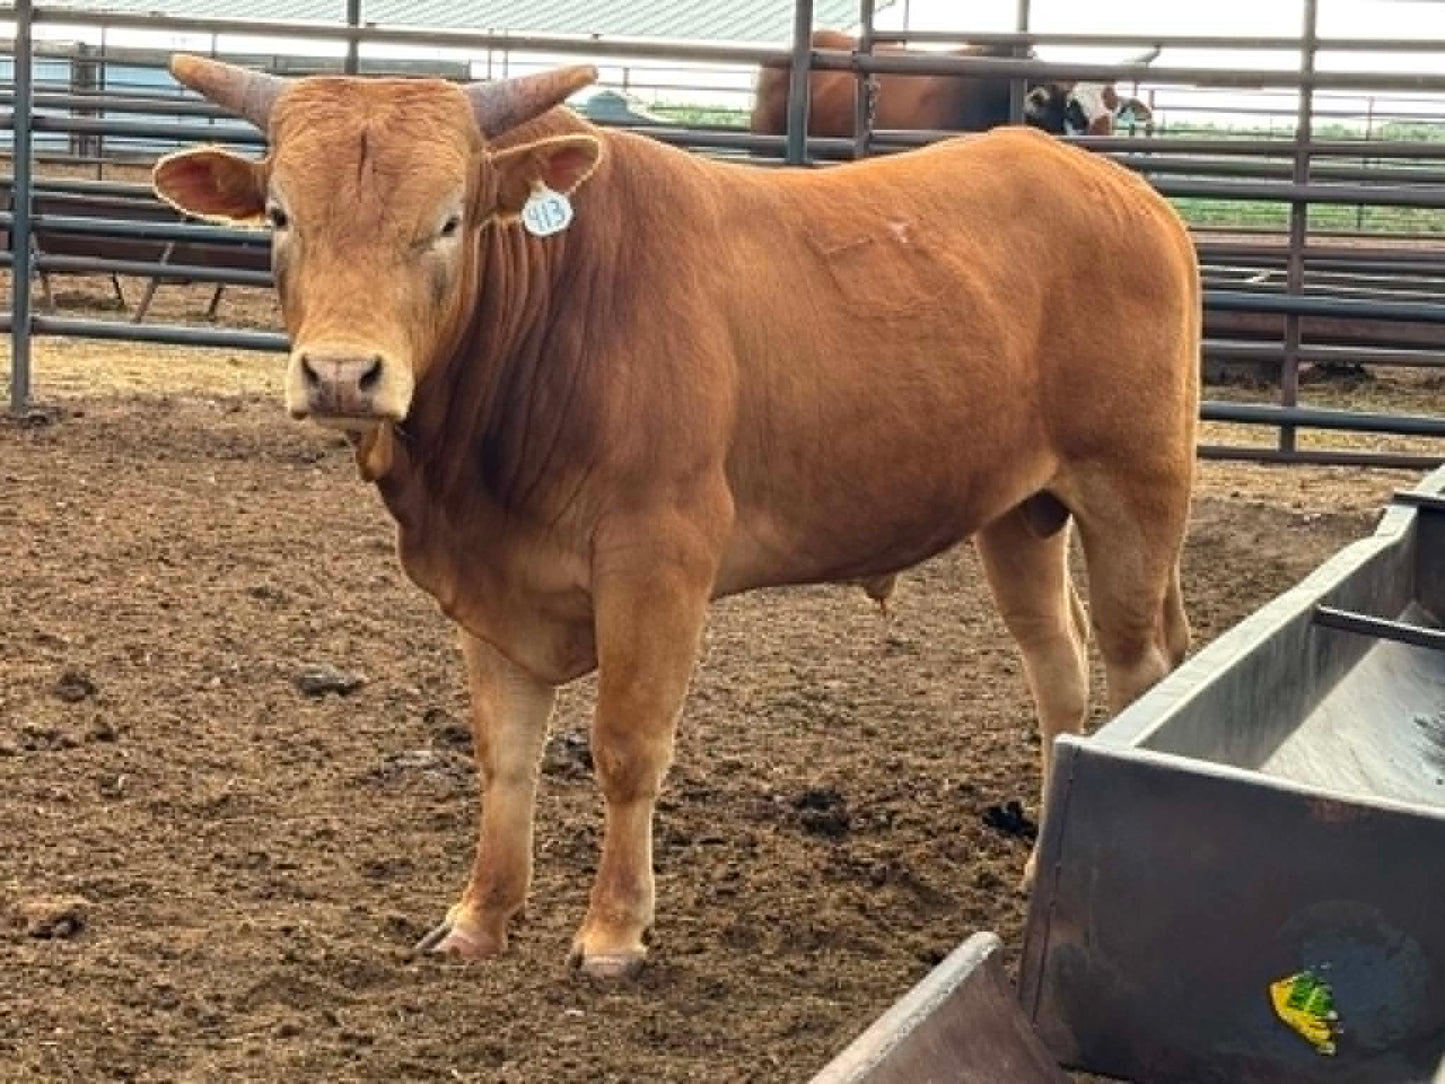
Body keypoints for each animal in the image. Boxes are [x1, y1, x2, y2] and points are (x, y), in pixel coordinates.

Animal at [153, 55, 1199, 980]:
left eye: (447, 221)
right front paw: (481, 915)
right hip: (1018, 514)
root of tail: (1118, 190)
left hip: (1135, 494)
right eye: (281, 216)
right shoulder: (490, 583)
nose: (341, 374)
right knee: (1057, 670)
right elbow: (504, 757)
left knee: (1135, 668)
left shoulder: (655, 563)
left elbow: (625, 746)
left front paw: (614, 932)